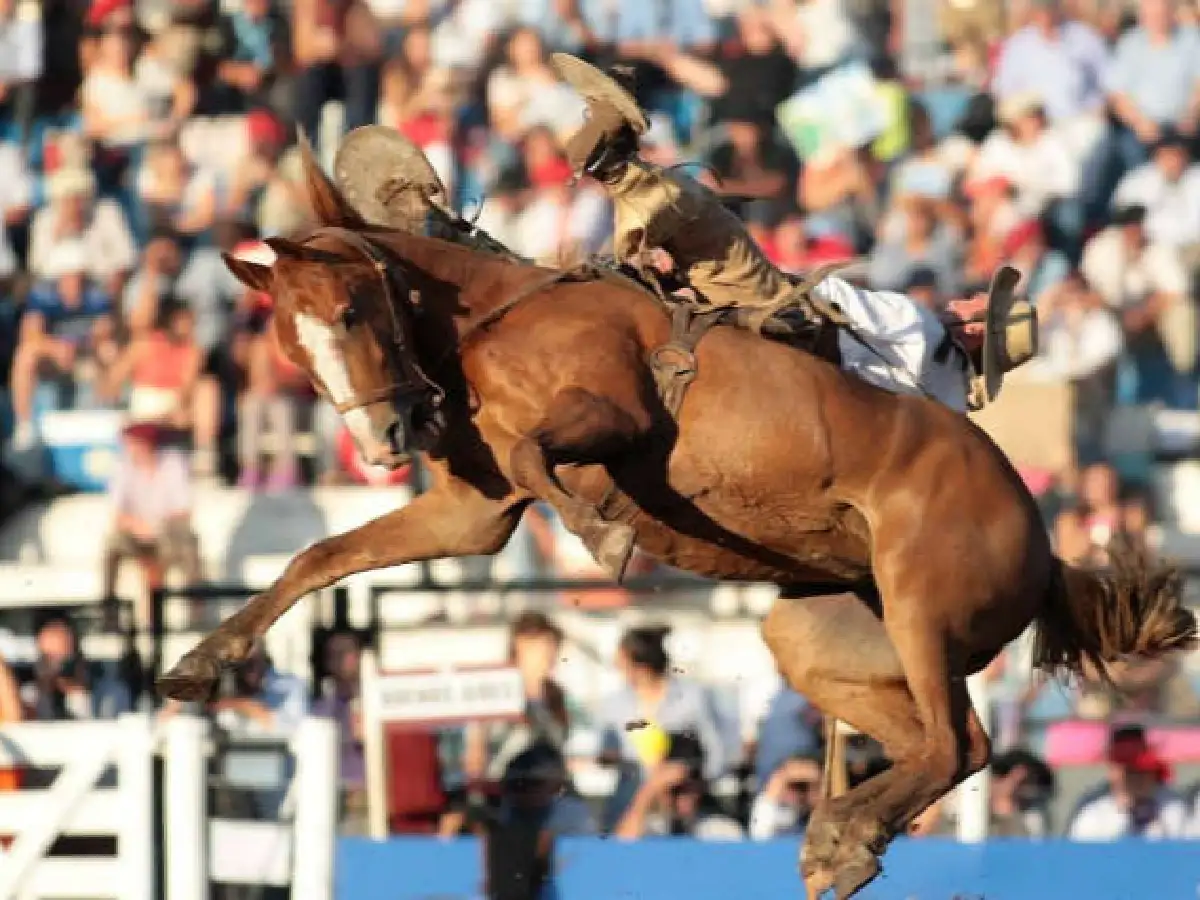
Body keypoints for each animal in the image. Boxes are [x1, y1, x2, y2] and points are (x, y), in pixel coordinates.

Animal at [158, 143, 1196, 899]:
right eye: (291, 344)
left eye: (347, 309)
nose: (379, 438)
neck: (494, 319)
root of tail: (1046, 545)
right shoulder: (469, 514)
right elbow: (321, 553)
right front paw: (200, 663)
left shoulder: (613, 415)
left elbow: (547, 461)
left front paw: (602, 532)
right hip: (822, 635)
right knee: (933, 748)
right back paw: (843, 837)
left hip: (919, 602)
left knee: (958, 744)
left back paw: (839, 834)